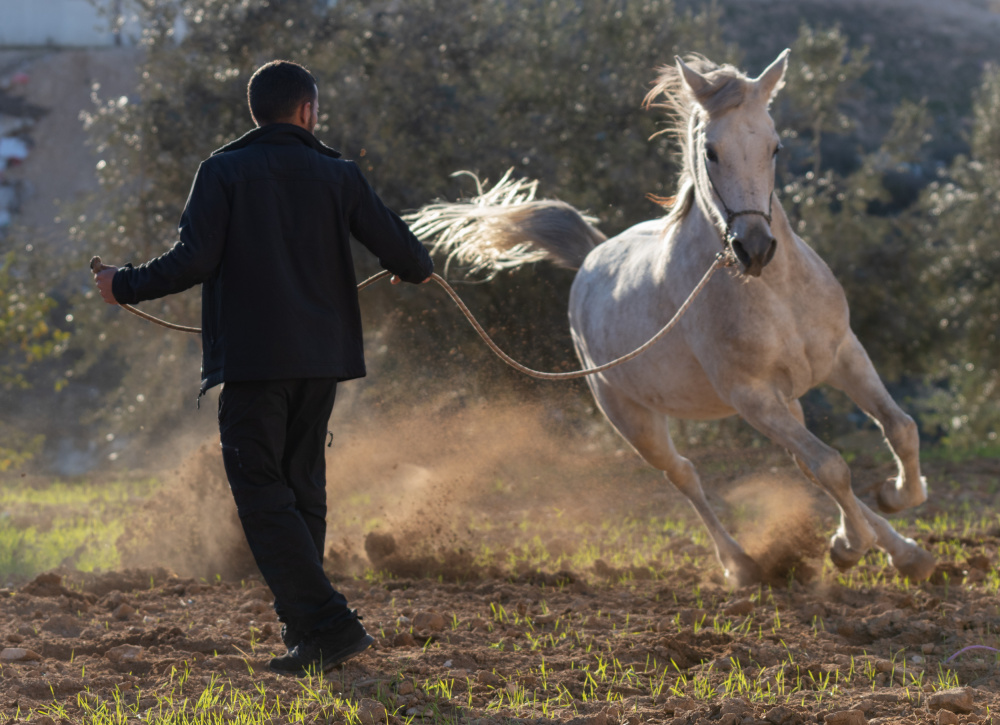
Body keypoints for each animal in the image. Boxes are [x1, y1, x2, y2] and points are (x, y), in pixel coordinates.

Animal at [408, 49, 936, 584]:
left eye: (776, 147)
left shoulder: (843, 356)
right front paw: (852, 546)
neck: (774, 294)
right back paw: (742, 564)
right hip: (634, 418)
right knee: (685, 474)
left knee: (801, 459)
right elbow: (831, 466)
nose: (755, 249)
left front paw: (893, 501)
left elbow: (899, 428)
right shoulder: (750, 396)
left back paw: (903, 551)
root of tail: (592, 256)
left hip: (786, 402)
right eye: (711, 152)